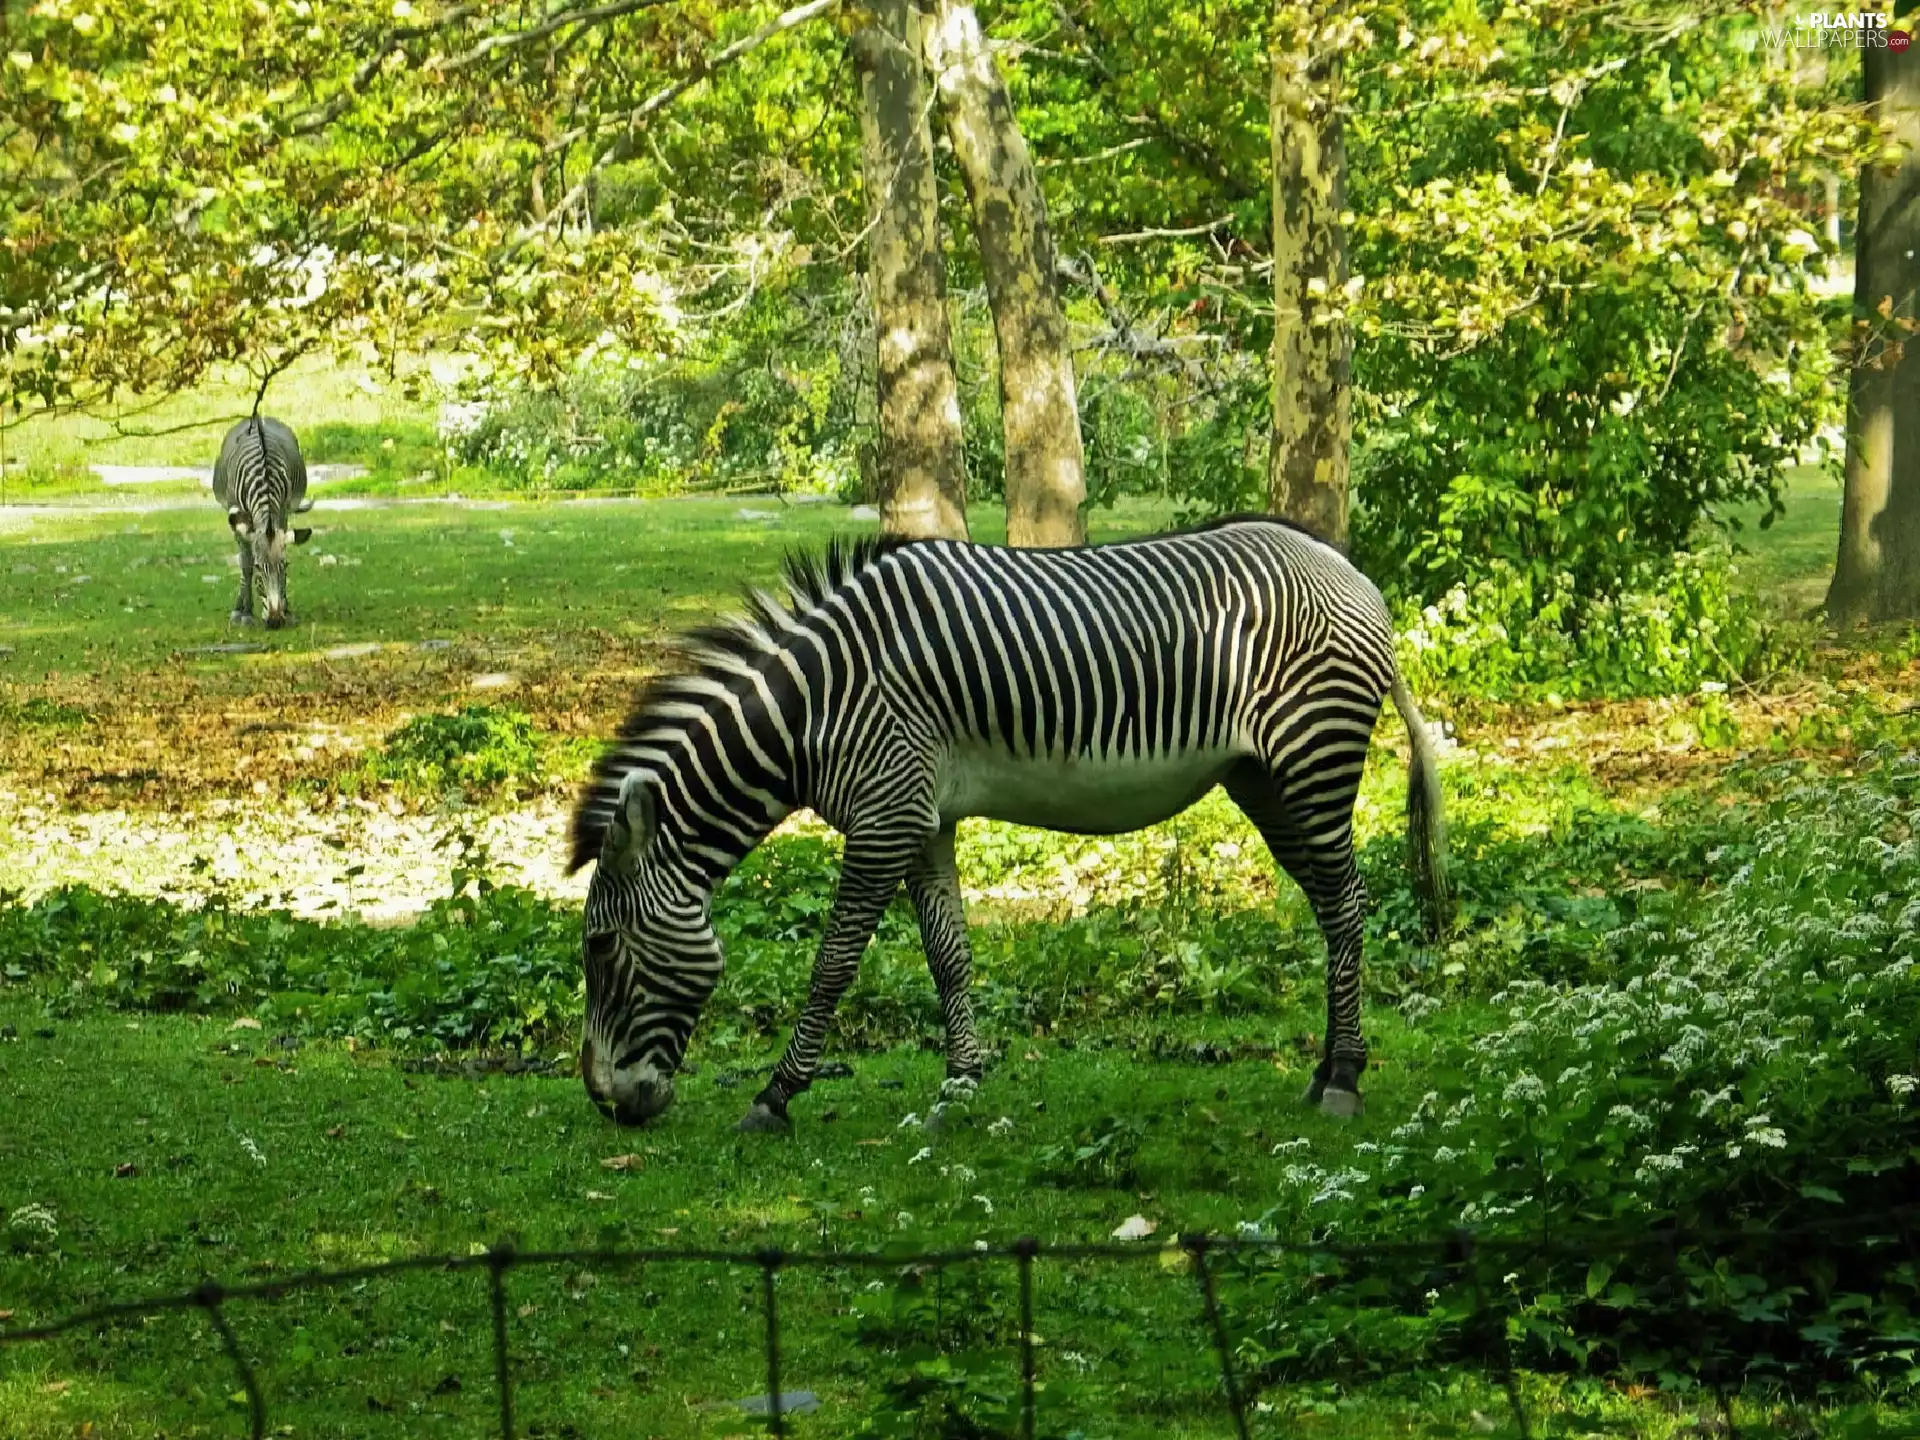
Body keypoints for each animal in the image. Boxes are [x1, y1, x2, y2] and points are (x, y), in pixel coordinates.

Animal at [212, 415, 312, 629]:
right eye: (259, 568)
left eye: (286, 566)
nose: (275, 621)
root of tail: (257, 416)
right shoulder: (240, 517)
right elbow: (246, 564)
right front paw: (246, 613)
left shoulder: (282, 511)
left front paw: (287, 610)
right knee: (244, 559)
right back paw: (239, 608)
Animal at [569, 515, 1450, 1133]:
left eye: (601, 947)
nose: (609, 1104)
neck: (814, 706)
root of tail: (1349, 569)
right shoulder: (920, 819)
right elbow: (947, 957)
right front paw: (961, 1084)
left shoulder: (884, 817)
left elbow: (833, 963)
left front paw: (777, 1094)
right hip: (1266, 781)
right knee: (1331, 908)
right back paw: (1325, 1069)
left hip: (1314, 760)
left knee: (1347, 908)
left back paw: (1345, 1078)